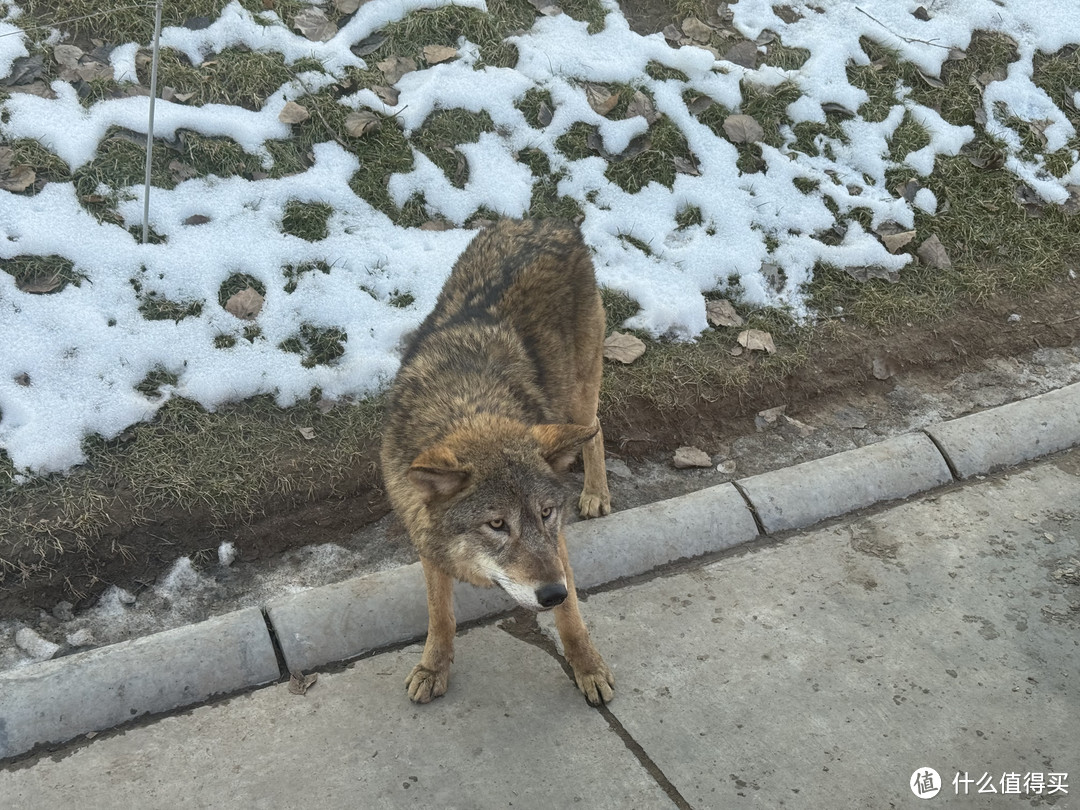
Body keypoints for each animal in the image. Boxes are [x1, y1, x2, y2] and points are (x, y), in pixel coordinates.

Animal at [382, 219, 617, 708]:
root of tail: (550, 221)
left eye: (546, 513)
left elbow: (571, 618)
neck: (467, 402)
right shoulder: (425, 540)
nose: (551, 593)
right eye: (496, 524)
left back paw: (596, 494)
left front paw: (588, 668)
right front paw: (433, 667)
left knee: (597, 428)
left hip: (579, 398)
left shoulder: (556, 549)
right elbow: (440, 615)